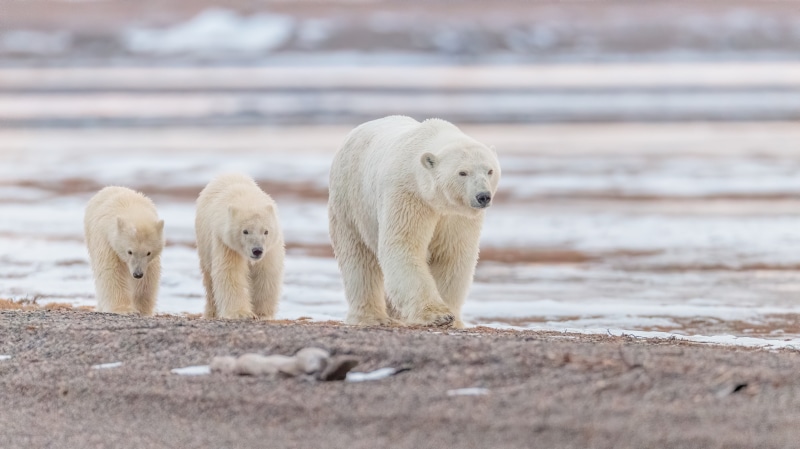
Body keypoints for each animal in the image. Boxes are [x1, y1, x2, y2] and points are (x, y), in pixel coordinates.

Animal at [84, 186, 165, 315]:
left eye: (148, 252)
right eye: (129, 251)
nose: (137, 274)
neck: (130, 207)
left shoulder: (150, 261)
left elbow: (149, 277)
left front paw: (142, 309)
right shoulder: (106, 241)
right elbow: (111, 271)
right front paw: (123, 309)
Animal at [195, 173, 285, 320]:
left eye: (266, 231)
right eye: (245, 231)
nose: (257, 250)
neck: (246, 199)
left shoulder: (270, 248)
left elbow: (266, 273)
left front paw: (263, 314)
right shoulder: (225, 243)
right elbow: (230, 272)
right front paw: (241, 313)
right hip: (204, 242)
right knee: (209, 279)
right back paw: (211, 313)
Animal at [328, 116, 501, 328]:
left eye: (490, 171)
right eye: (462, 172)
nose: (483, 196)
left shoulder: (456, 216)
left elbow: (452, 255)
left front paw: (452, 318)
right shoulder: (408, 196)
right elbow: (404, 245)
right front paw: (438, 315)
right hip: (350, 202)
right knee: (358, 259)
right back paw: (371, 317)